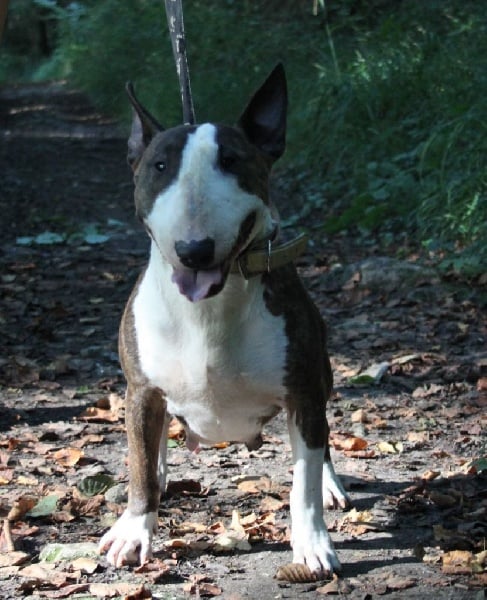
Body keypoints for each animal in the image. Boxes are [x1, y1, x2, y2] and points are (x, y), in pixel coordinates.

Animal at [98, 64, 350, 577]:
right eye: (159, 166)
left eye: (233, 161)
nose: (195, 250)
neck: (206, 310)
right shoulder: (141, 389)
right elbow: (139, 464)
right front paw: (134, 531)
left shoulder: (303, 392)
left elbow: (305, 482)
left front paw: (313, 544)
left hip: (322, 376)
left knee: (321, 448)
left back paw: (332, 484)